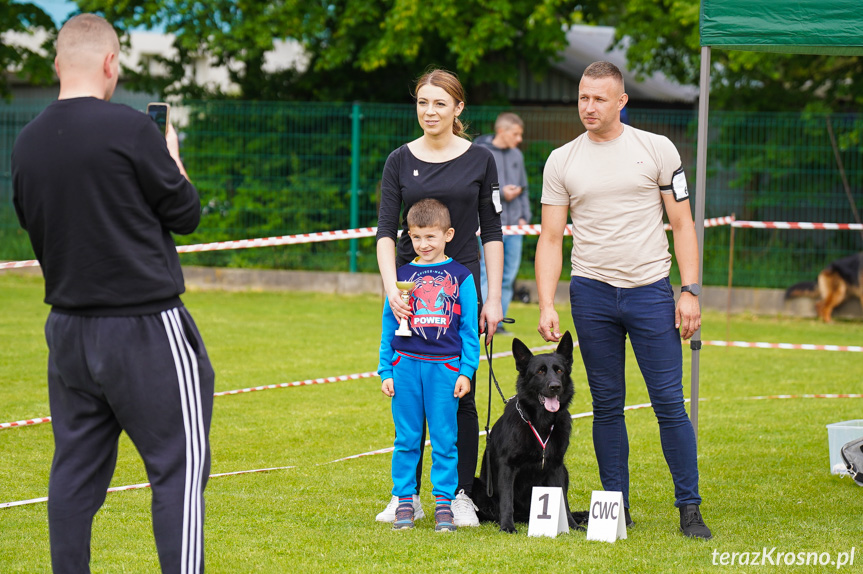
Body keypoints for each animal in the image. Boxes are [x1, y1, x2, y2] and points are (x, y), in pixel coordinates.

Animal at [472, 332, 588, 536]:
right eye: (540, 372)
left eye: (559, 371)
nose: (555, 386)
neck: (540, 423)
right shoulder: (507, 467)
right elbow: (507, 500)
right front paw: (507, 526)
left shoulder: (556, 467)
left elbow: (563, 502)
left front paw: (571, 525)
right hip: (477, 486)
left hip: (565, 472)